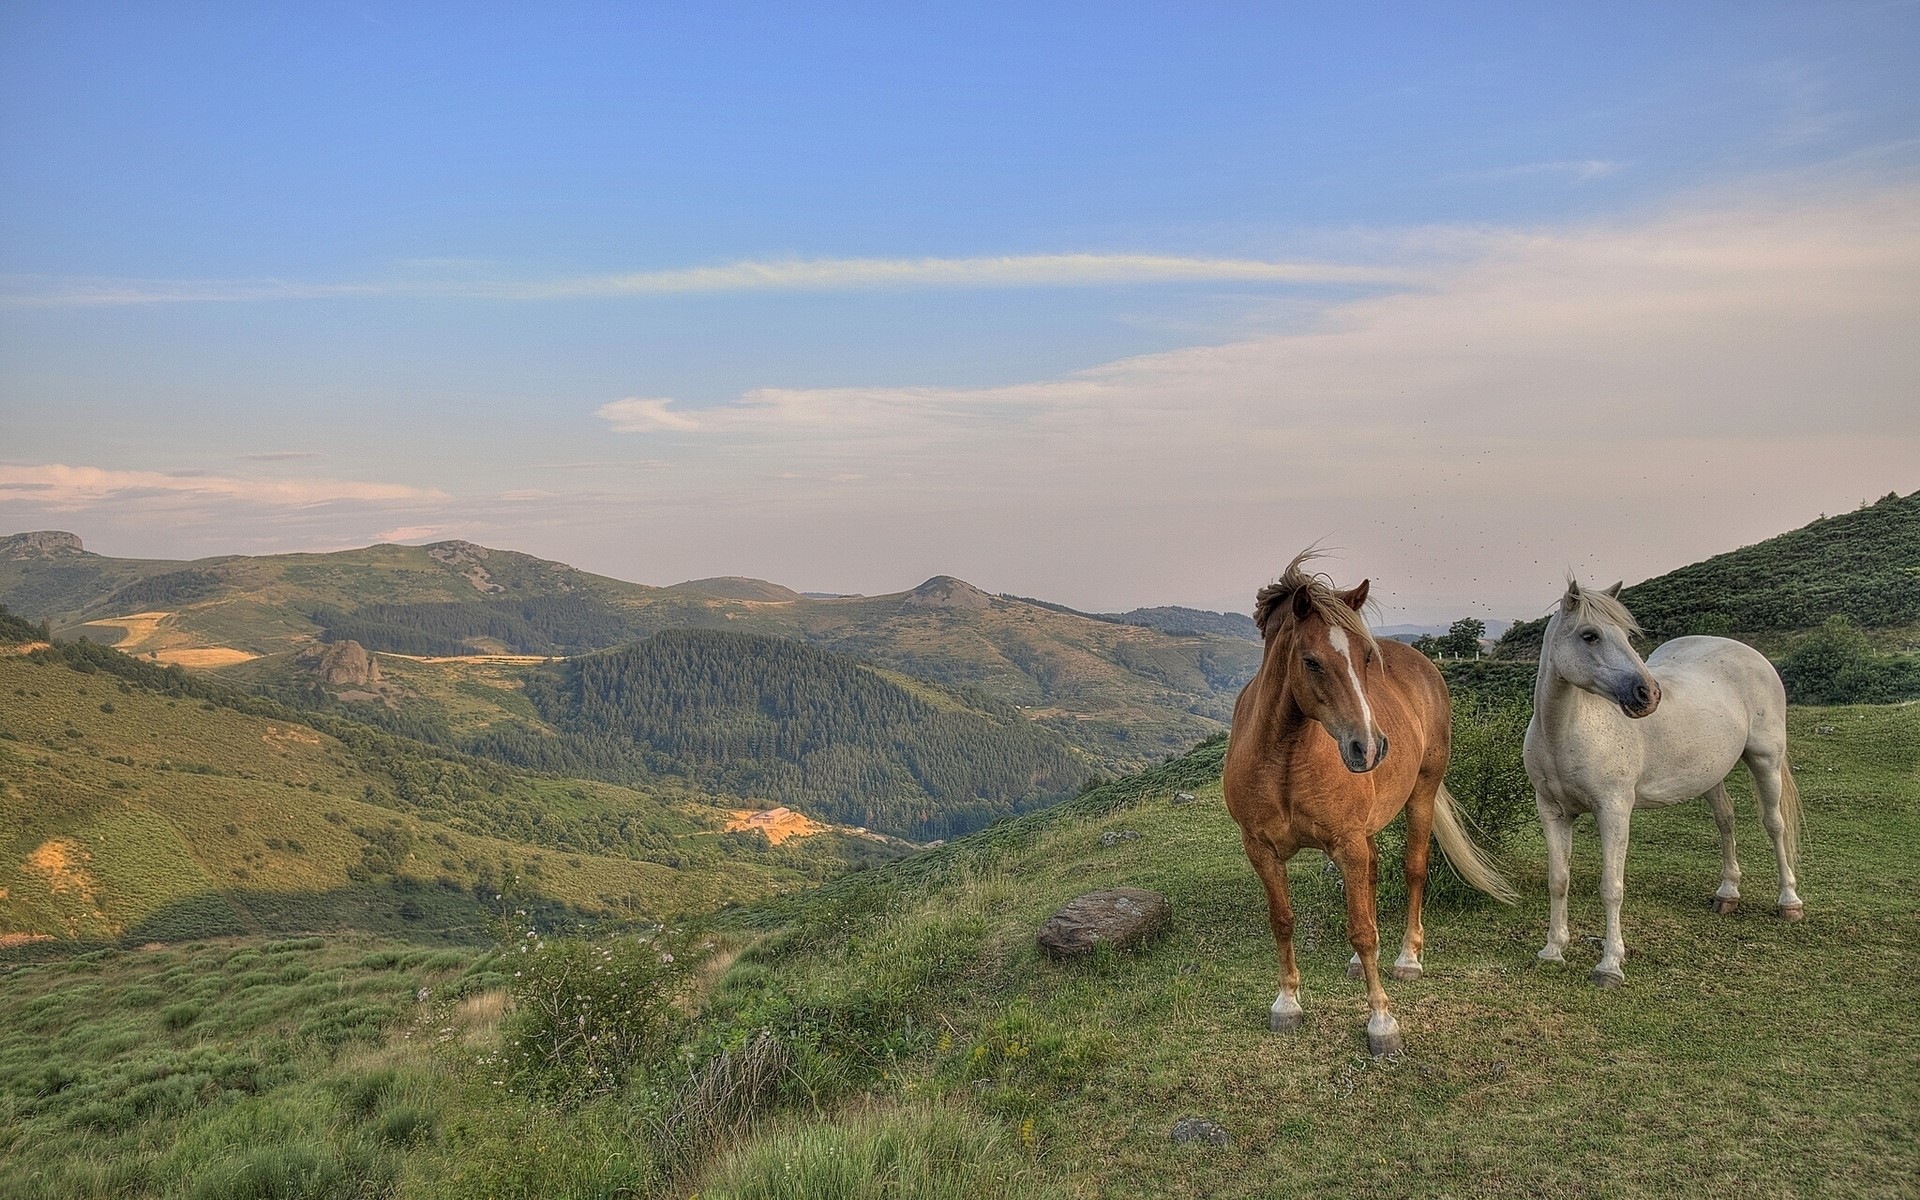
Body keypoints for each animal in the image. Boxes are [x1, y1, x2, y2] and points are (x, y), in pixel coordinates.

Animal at [1224, 552, 1516, 1056]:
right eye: (1311, 661)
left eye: (1365, 657)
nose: (1371, 746)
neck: (1283, 758)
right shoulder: (1261, 849)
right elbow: (1282, 921)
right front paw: (1287, 1002)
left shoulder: (1346, 843)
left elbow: (1361, 930)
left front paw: (1381, 1020)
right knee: (1376, 872)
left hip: (1421, 794)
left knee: (1414, 869)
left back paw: (1407, 958)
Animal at [1523, 579, 1804, 988]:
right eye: (1590, 635)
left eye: (1627, 635)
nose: (1648, 694)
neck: (1565, 731)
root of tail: (1750, 654)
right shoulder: (1553, 812)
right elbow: (1558, 879)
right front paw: (1552, 951)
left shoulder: (1614, 811)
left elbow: (1611, 888)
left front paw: (1610, 965)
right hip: (1711, 774)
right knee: (1726, 819)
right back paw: (1727, 894)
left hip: (1766, 760)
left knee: (1774, 825)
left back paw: (1789, 902)